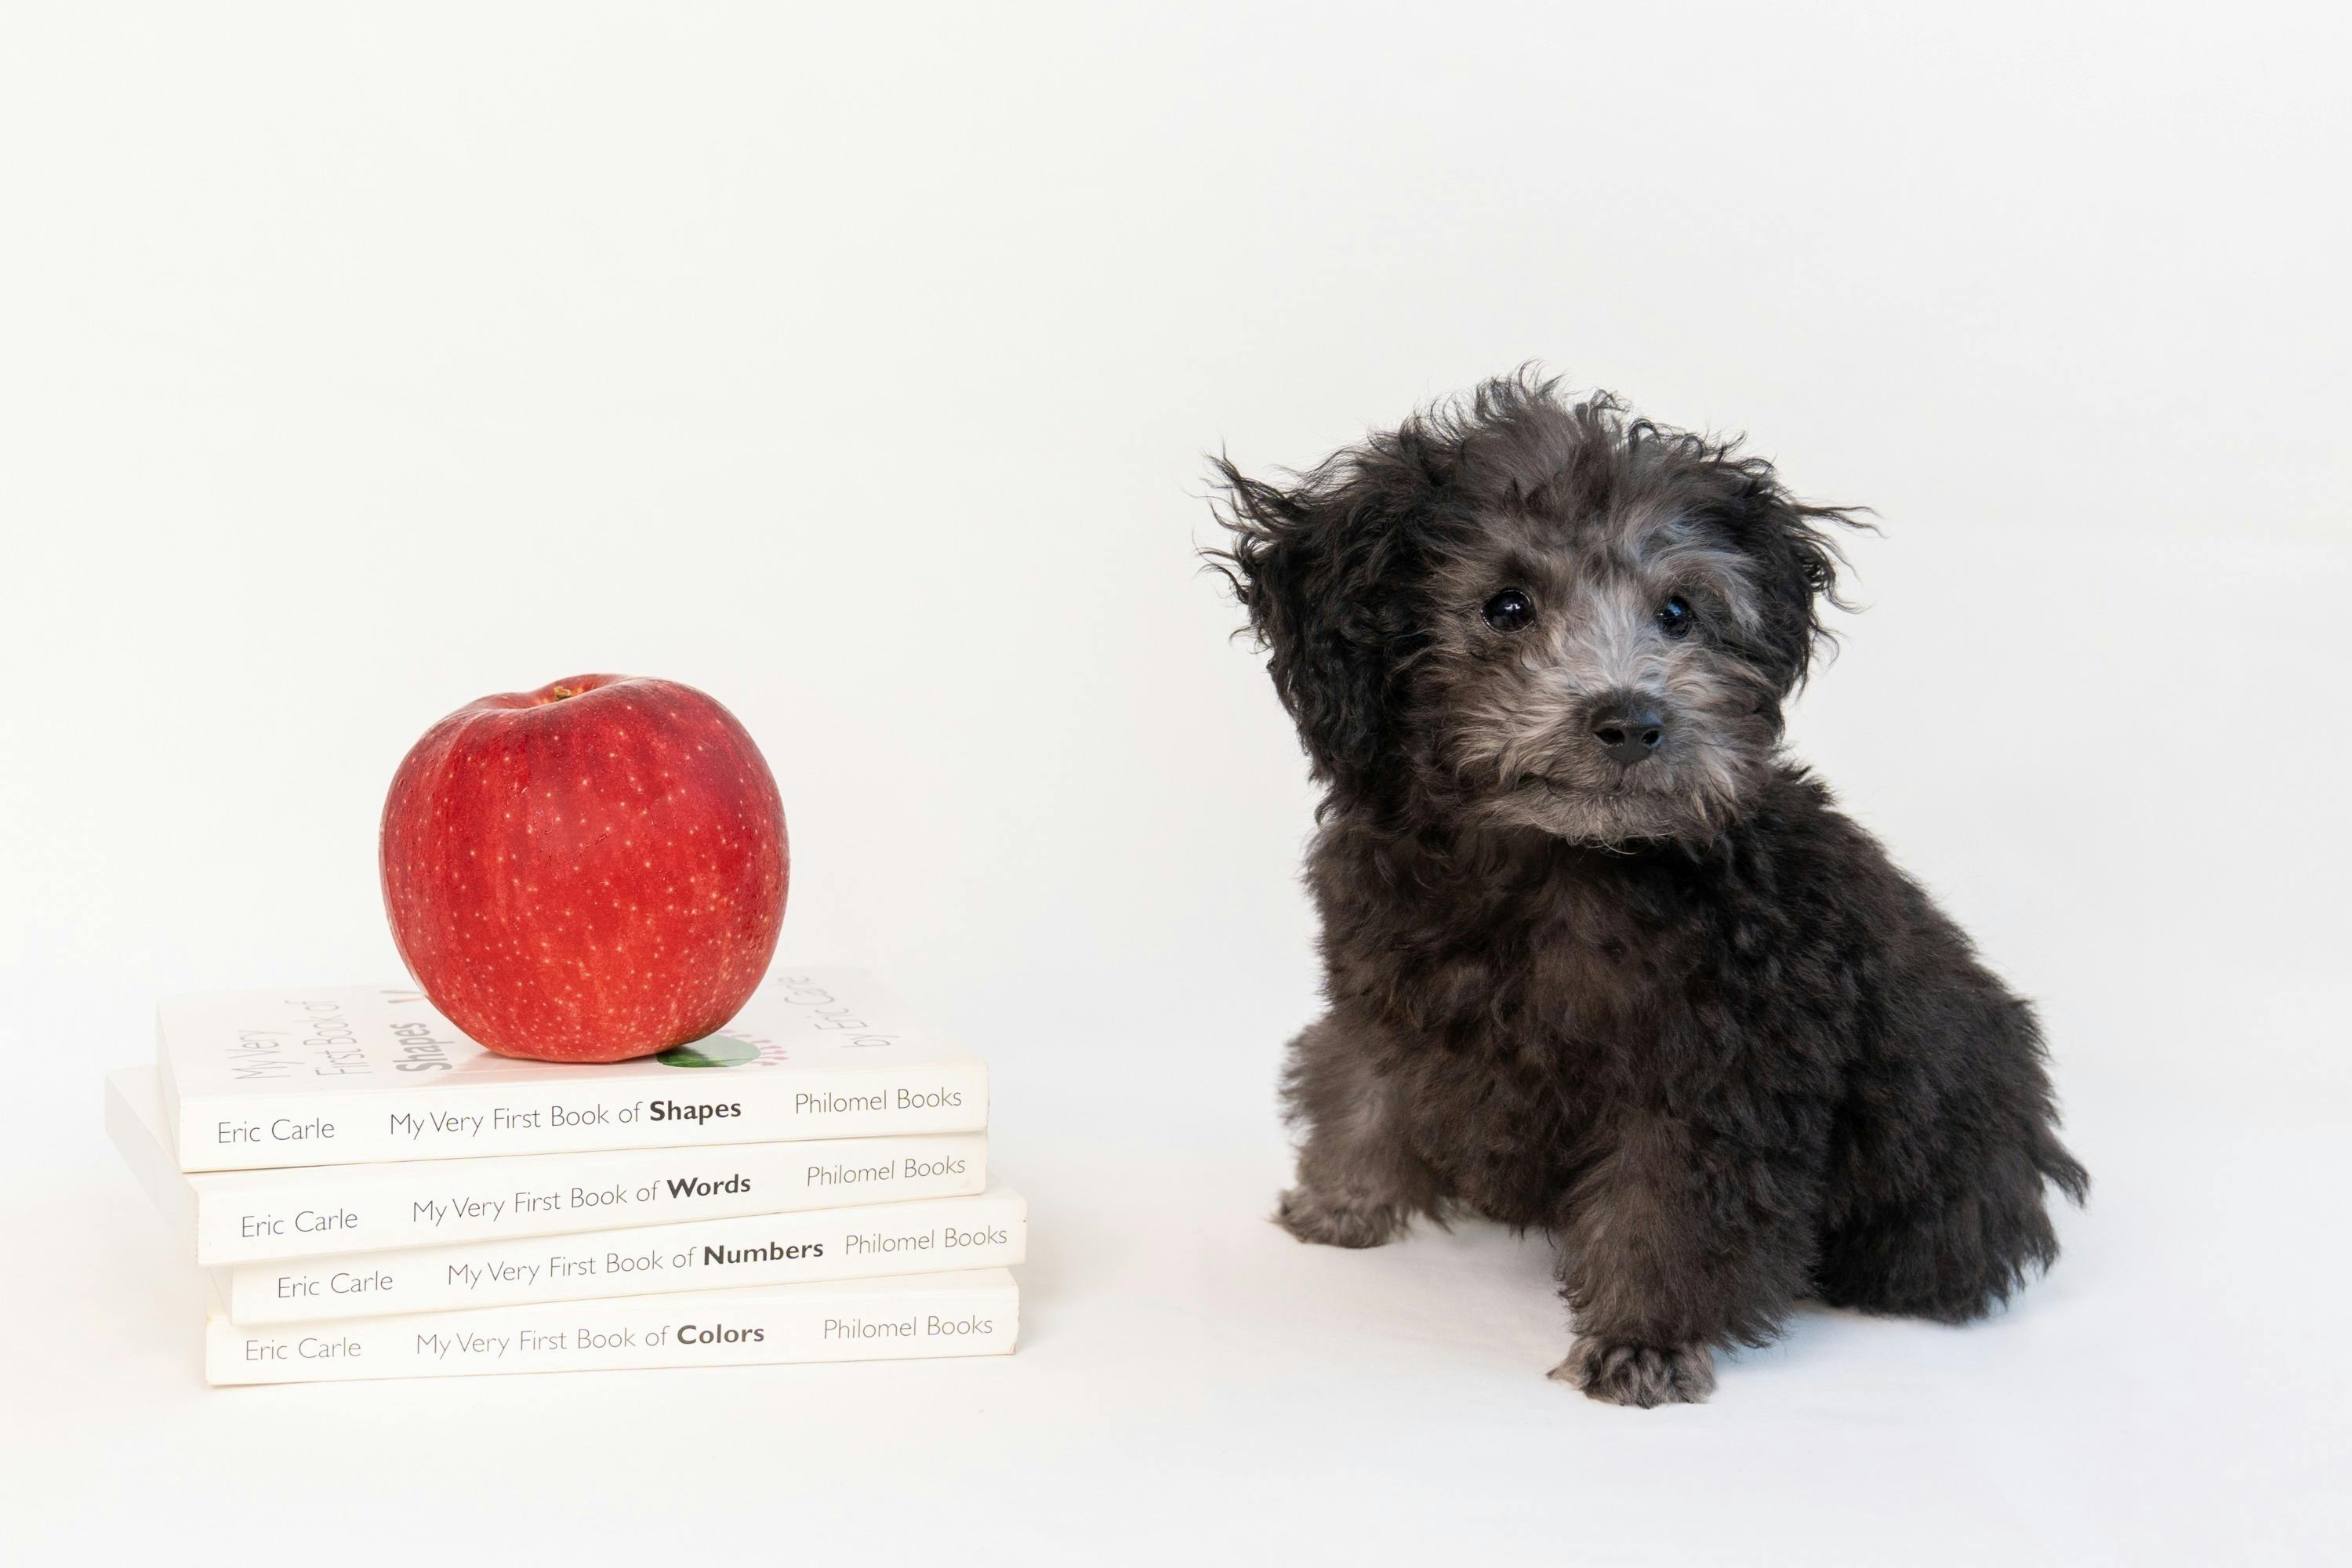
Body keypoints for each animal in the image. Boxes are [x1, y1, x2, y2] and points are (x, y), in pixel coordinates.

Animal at [1208, 373, 2086, 1406]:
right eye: (1506, 606)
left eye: (1678, 612)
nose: (1632, 720)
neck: (1550, 859)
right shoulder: (1380, 984)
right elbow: (1359, 1080)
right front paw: (1341, 1201)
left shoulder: (1714, 1080)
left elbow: (1667, 1213)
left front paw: (1642, 1341)